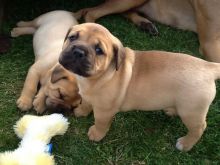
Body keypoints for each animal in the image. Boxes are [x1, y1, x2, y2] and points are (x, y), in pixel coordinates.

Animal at [58, 22, 220, 151]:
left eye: (99, 51)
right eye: (72, 37)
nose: (78, 52)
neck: (99, 76)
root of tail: (209, 67)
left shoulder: (104, 111)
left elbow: (100, 123)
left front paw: (96, 134)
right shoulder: (86, 96)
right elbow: (85, 103)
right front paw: (80, 111)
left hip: (191, 112)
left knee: (199, 128)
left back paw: (185, 144)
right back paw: (171, 110)